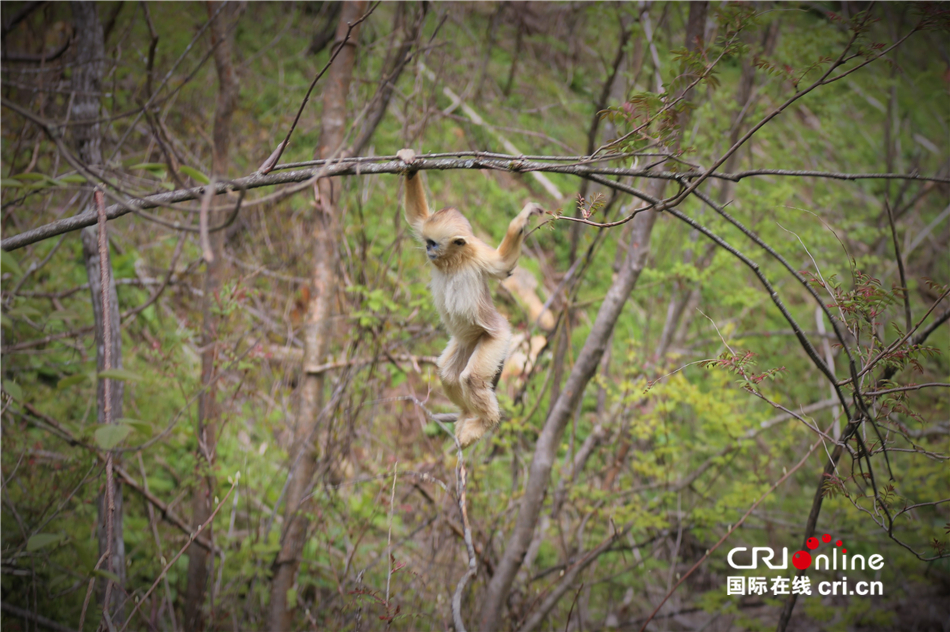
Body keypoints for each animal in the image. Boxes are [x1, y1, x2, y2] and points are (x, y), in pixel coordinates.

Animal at [396, 148, 544, 446]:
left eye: (433, 244)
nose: (427, 251)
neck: (453, 262)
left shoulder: (478, 256)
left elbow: (503, 266)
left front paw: (521, 220)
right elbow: (416, 216)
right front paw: (409, 161)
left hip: (495, 338)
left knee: (473, 378)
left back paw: (484, 422)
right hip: (467, 340)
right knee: (448, 373)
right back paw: (466, 413)